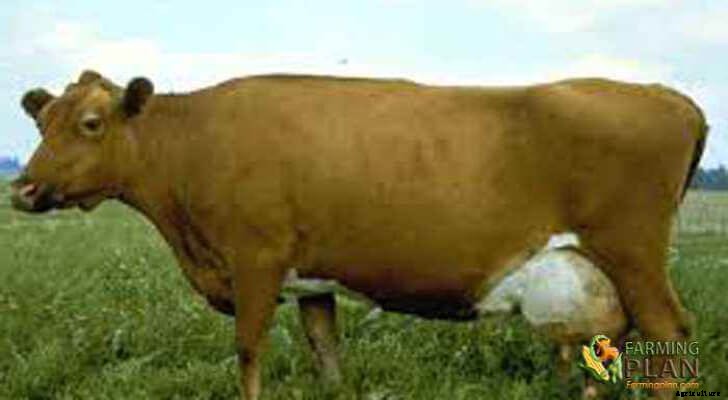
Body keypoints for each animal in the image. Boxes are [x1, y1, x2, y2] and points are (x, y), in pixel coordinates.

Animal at [11, 70, 707, 399]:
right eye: (43, 121)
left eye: (92, 123)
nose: (22, 190)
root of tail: (664, 94)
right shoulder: (311, 275)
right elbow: (326, 352)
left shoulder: (256, 259)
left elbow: (248, 353)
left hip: (634, 253)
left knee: (670, 333)